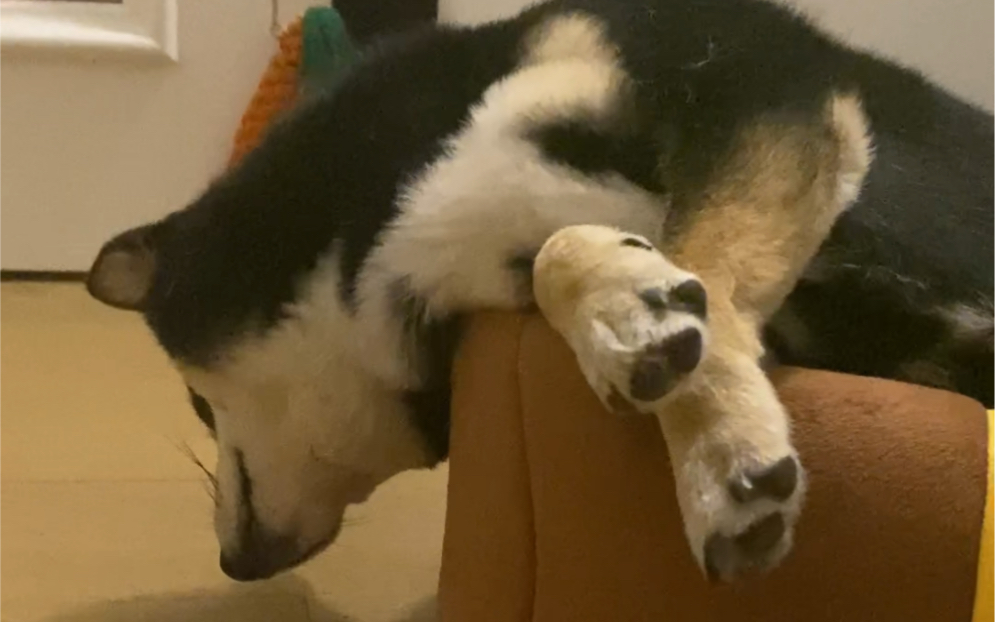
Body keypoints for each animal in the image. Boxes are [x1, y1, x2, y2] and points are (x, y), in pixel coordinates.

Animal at [86, 0, 993, 583]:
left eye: (199, 406)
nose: (233, 565)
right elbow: (586, 255)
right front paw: (629, 310)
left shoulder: (757, 87)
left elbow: (702, 254)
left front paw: (717, 453)